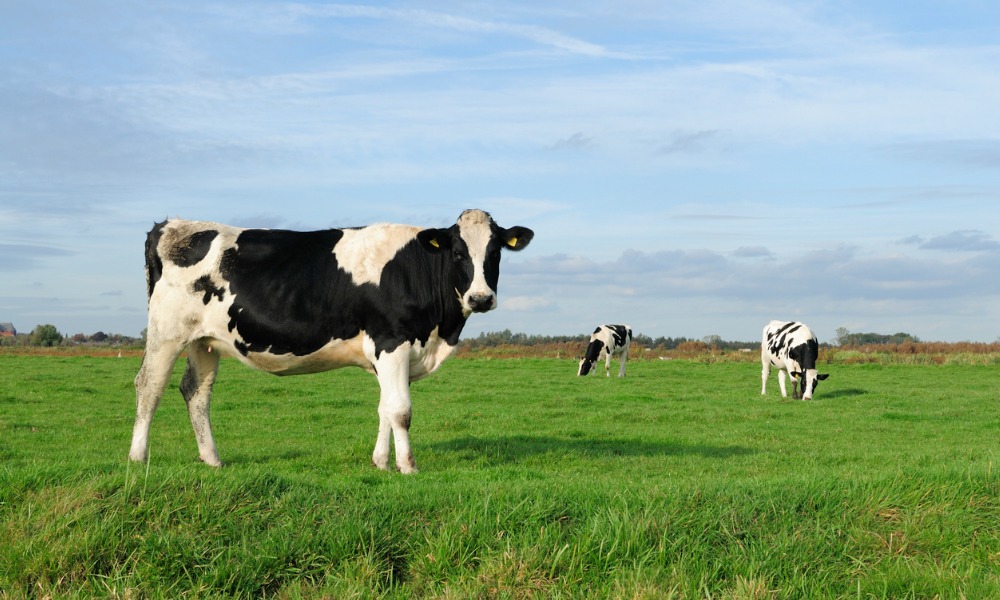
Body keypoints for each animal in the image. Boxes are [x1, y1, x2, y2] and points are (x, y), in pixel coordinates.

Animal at [130, 210, 536, 474]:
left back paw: (212, 459)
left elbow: (384, 408)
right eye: (457, 252)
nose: (480, 298)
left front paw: (380, 463)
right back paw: (138, 457)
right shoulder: (392, 341)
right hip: (167, 332)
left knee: (196, 392)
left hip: (205, 340)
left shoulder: (386, 353)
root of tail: (170, 225)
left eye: (495, 252)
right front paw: (408, 466)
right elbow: (401, 410)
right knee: (149, 386)